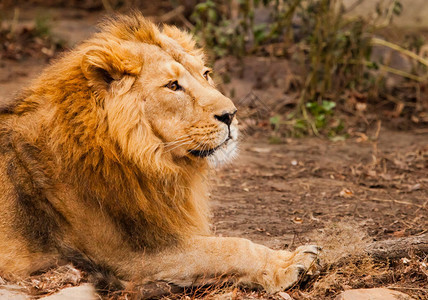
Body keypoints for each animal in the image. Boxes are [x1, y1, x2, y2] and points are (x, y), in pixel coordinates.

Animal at [0, 13, 320, 296]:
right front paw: (290, 263)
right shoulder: (132, 255)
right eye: (173, 85)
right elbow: (232, 246)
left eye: (205, 74)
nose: (231, 114)